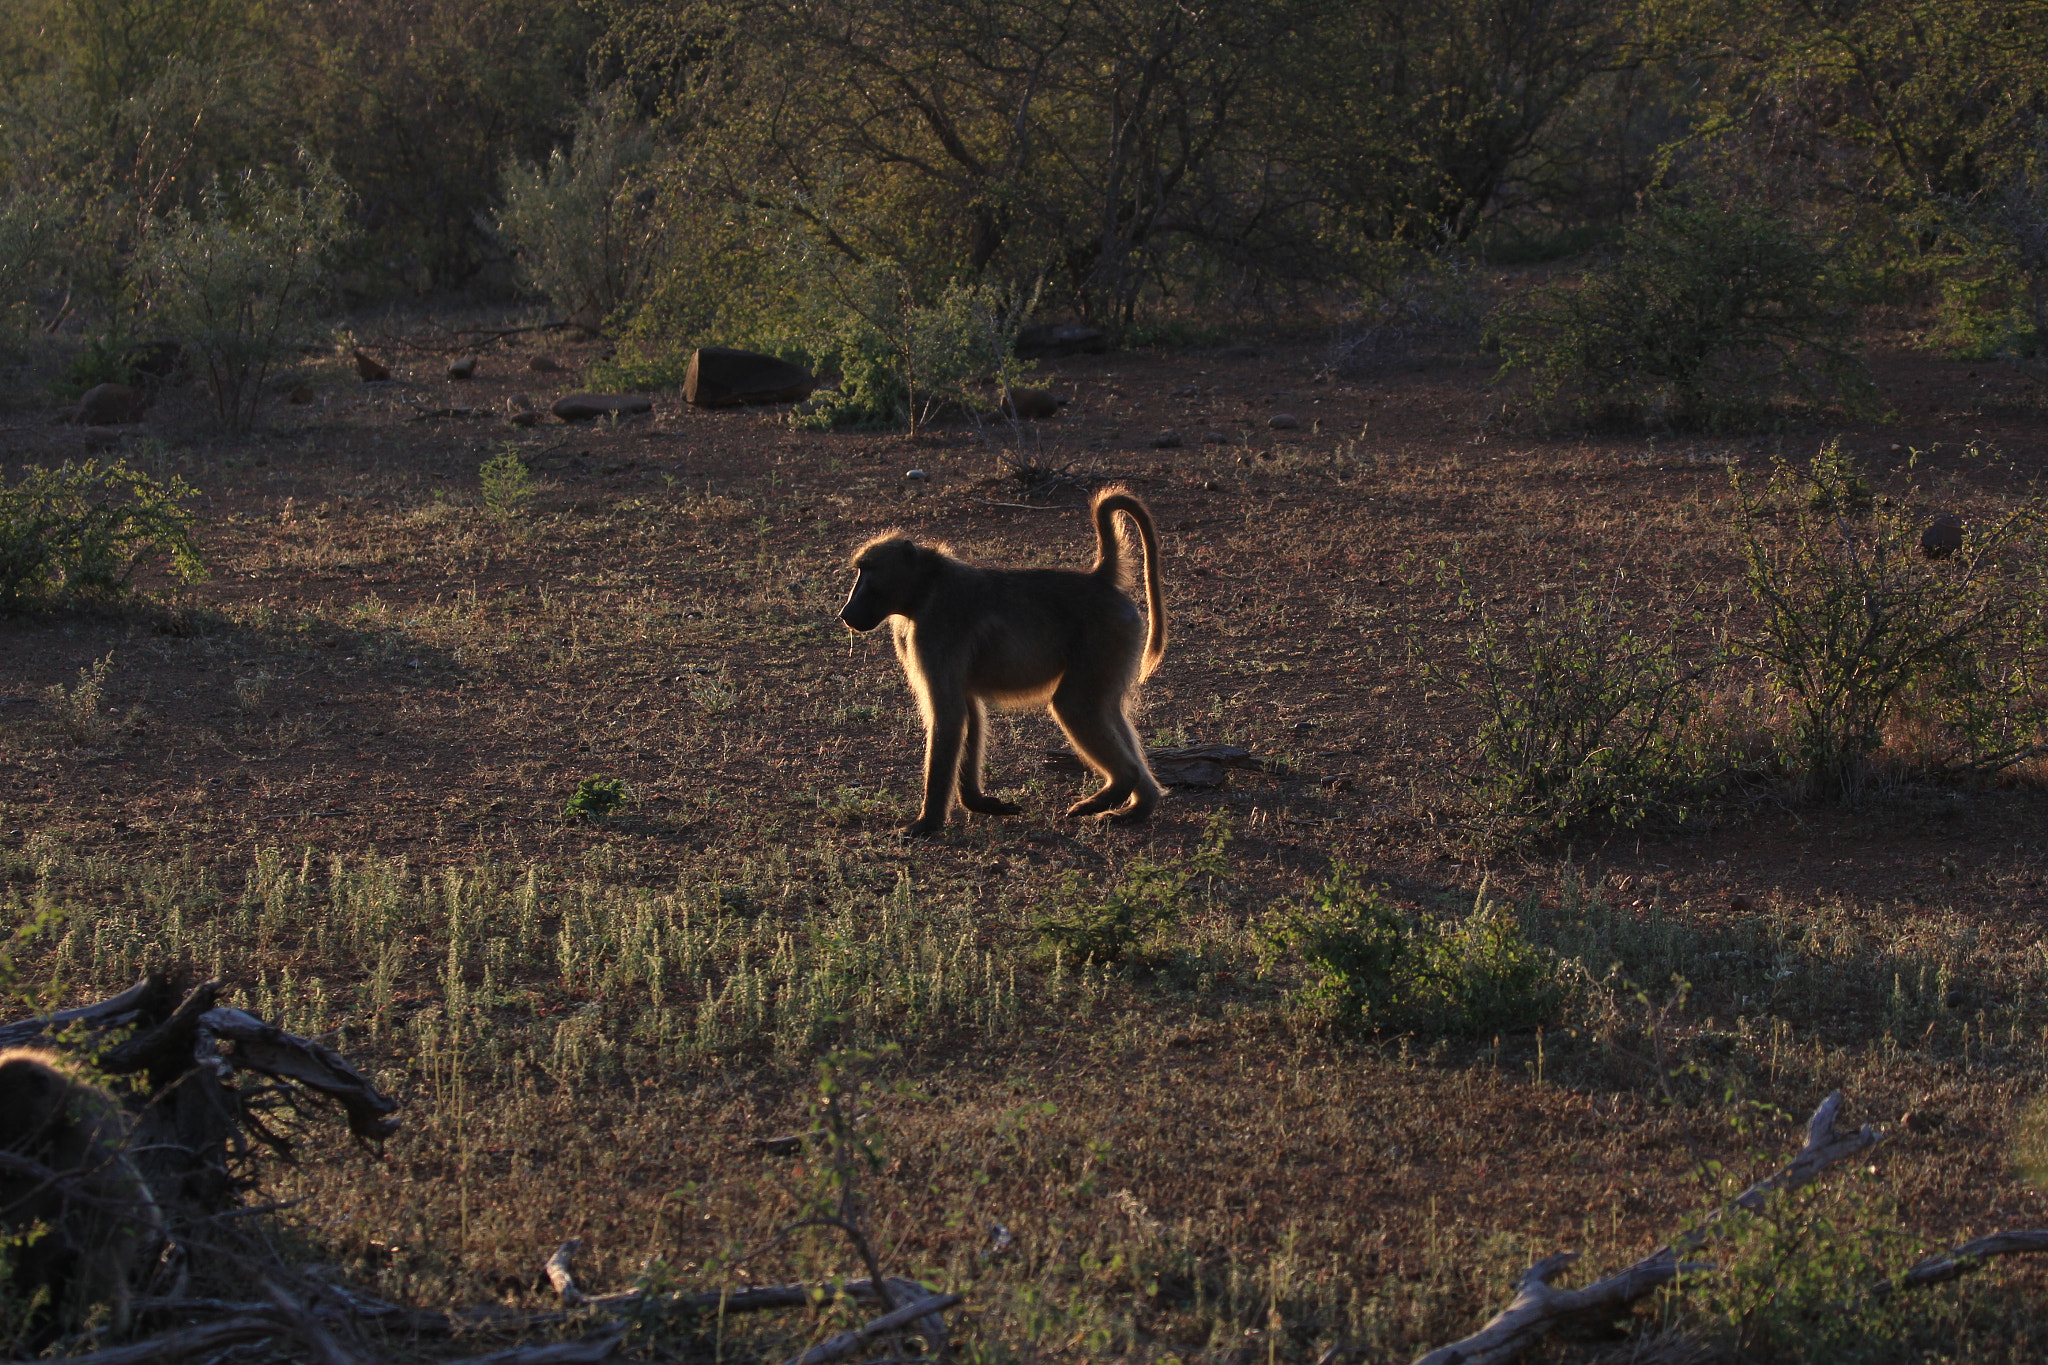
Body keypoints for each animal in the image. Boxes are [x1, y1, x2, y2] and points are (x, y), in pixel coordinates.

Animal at [839, 484, 1167, 836]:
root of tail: (1099, 579)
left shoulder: (935, 631)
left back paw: (1120, 786)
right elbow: (970, 713)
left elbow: (949, 715)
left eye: (867, 571)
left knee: (1075, 706)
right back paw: (1139, 806)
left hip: (1104, 637)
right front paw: (980, 803)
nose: (845, 613)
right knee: (1106, 711)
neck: (928, 585)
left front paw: (925, 823)